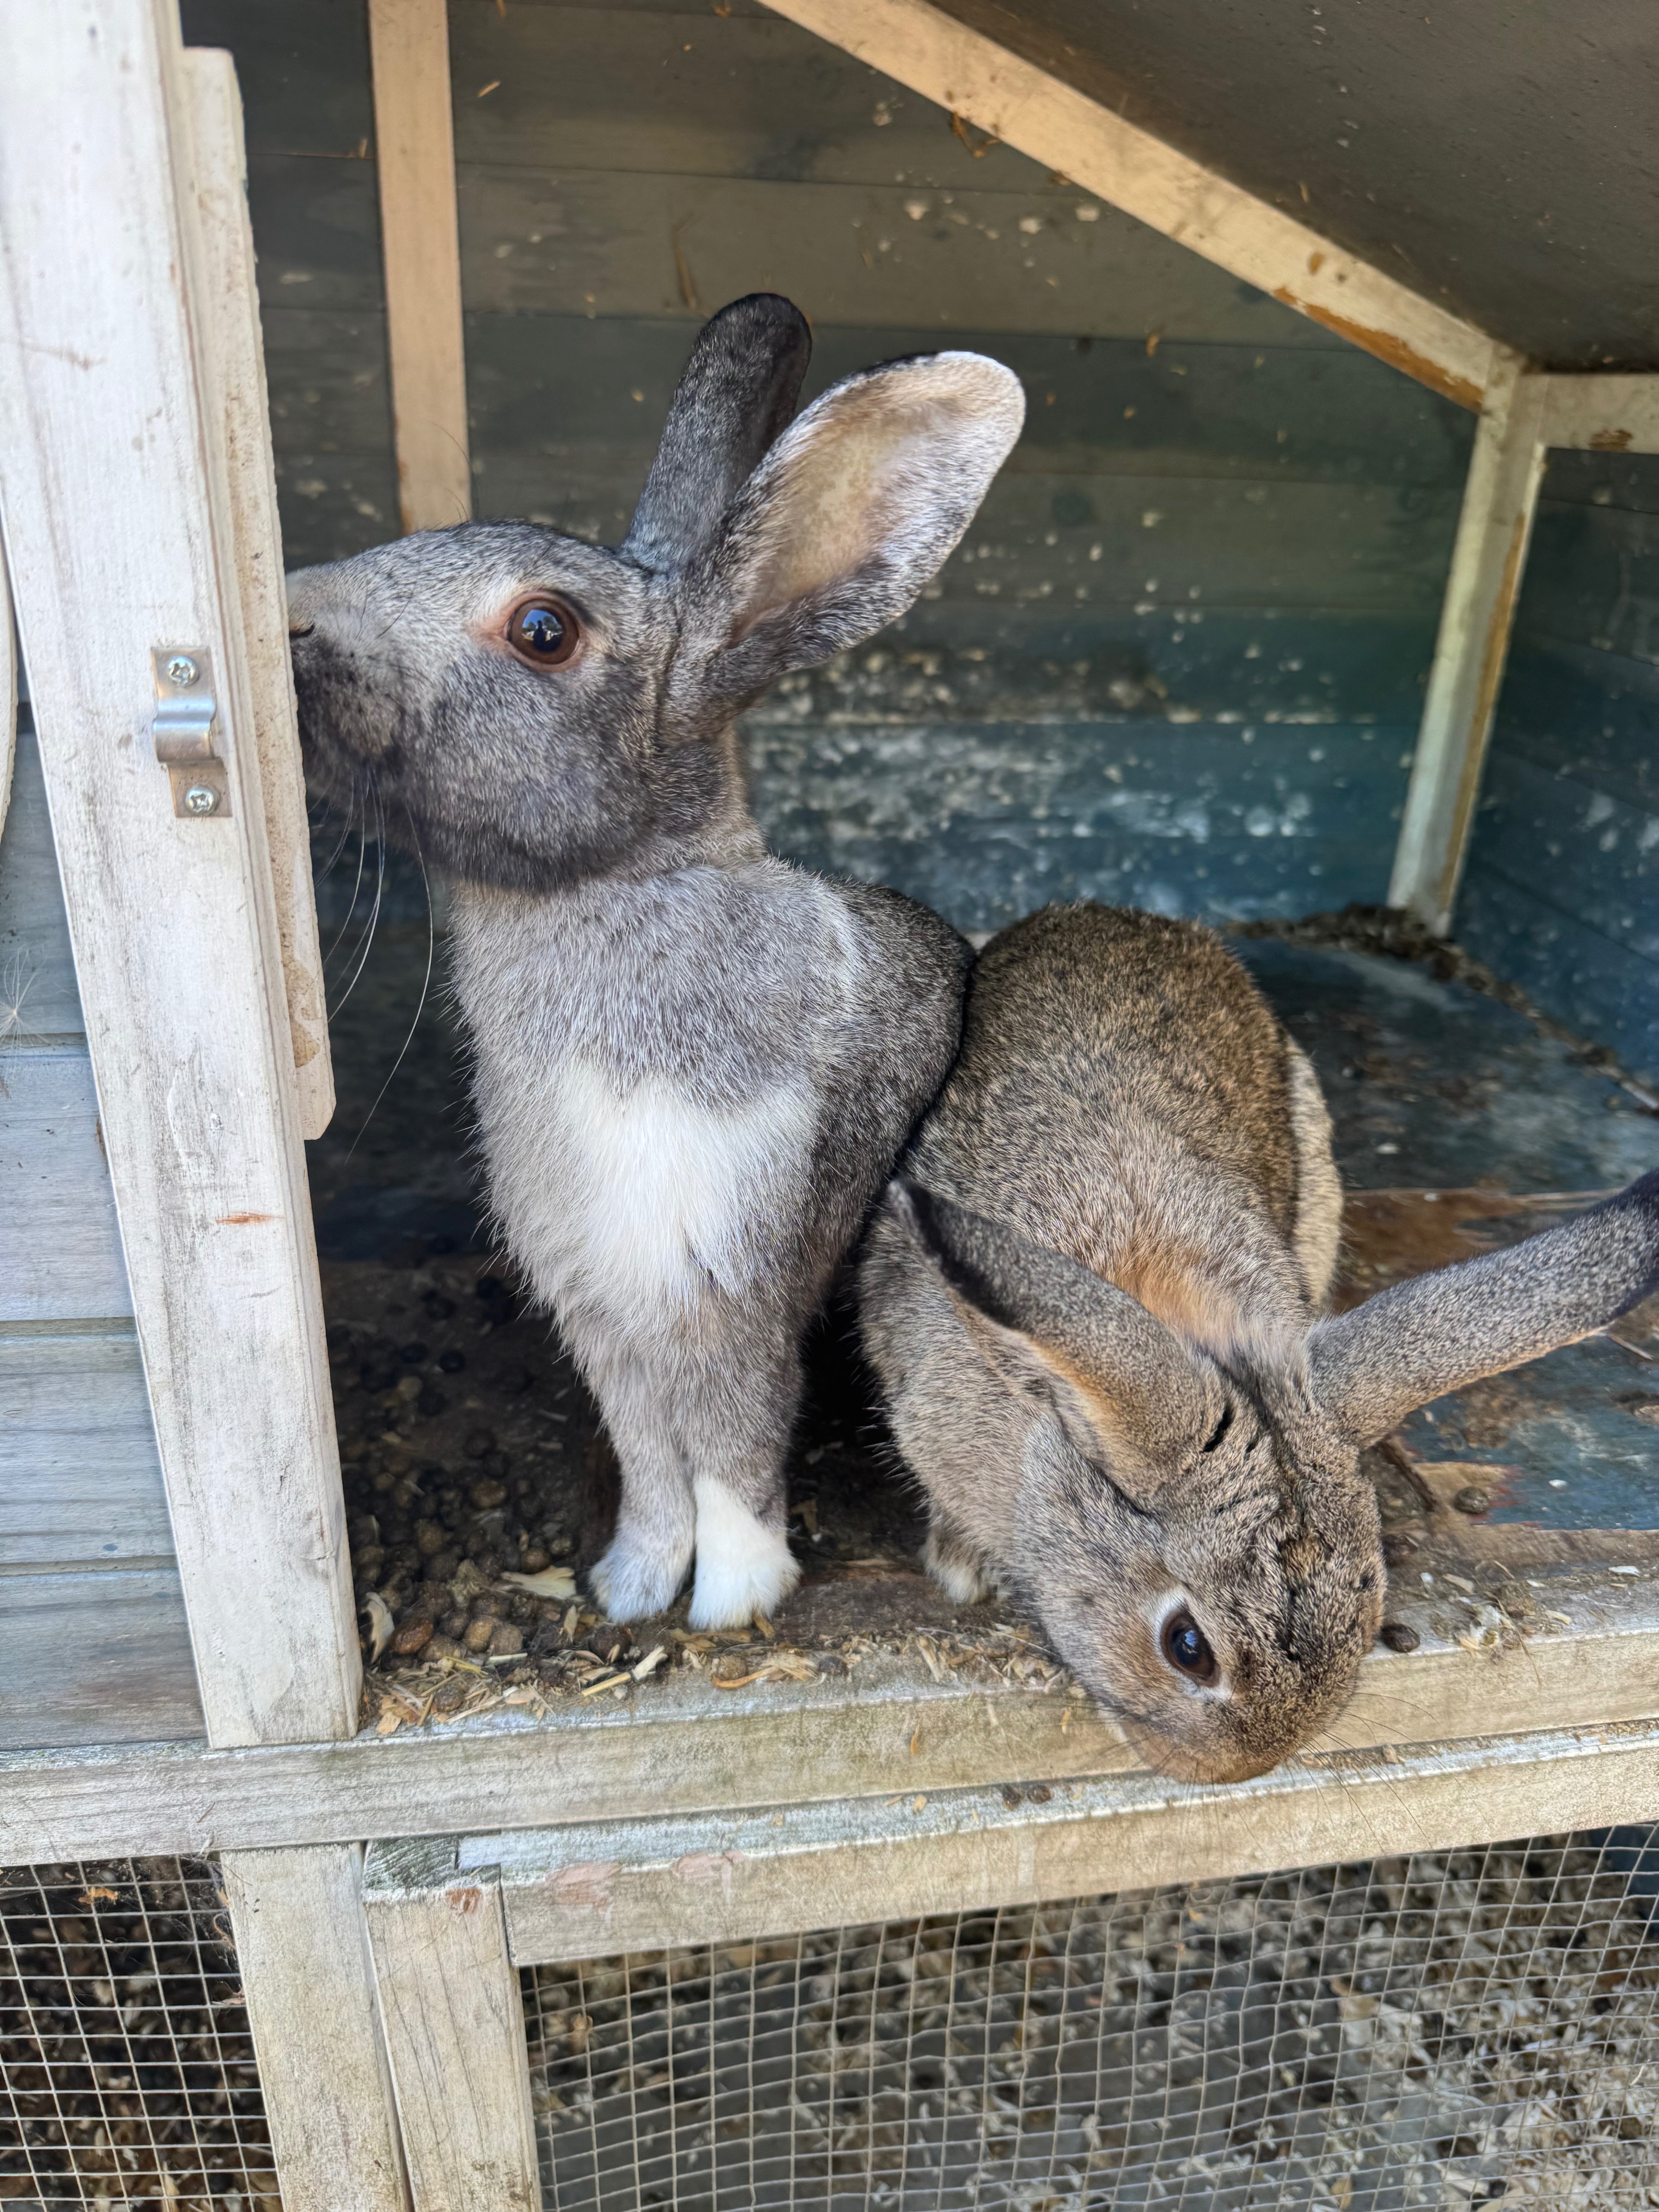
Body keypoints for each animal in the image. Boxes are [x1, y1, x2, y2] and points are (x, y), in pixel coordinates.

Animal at [286, 294, 1025, 1629]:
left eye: (543, 631)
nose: (287, 609)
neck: (620, 886)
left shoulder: (728, 1279)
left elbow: (732, 1442)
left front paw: (732, 1597)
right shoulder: (601, 1307)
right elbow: (647, 1453)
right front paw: (633, 1586)